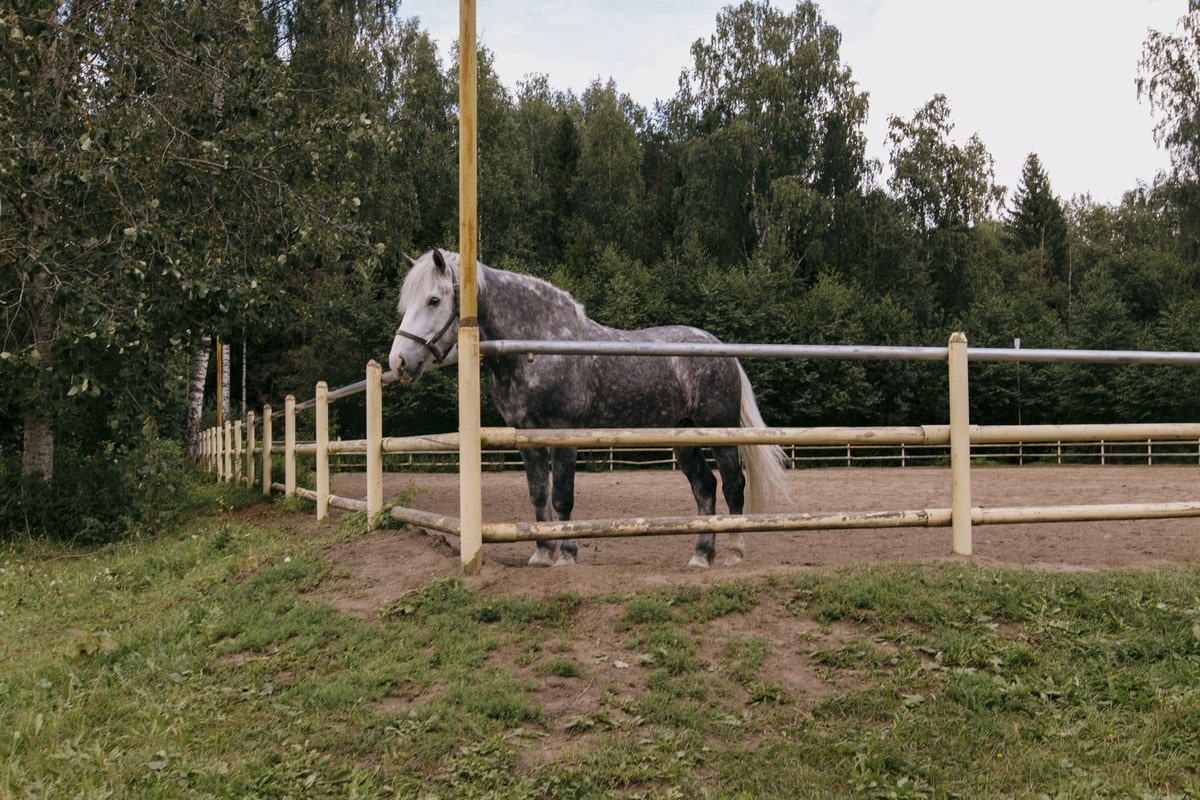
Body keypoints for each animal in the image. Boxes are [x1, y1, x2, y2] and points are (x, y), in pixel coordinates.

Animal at [388, 250, 792, 568]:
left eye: (434, 300)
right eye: (406, 305)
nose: (399, 362)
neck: (538, 345)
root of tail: (720, 349)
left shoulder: (564, 432)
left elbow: (562, 496)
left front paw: (566, 554)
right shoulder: (527, 437)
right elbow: (538, 495)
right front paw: (541, 553)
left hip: (719, 431)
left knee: (734, 486)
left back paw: (734, 552)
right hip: (684, 436)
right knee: (705, 488)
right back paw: (700, 555)